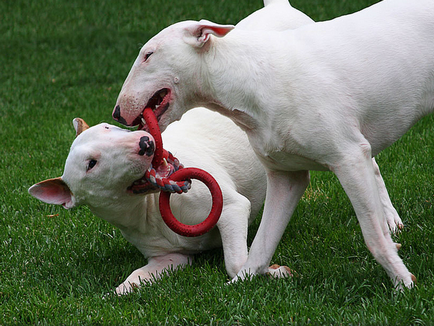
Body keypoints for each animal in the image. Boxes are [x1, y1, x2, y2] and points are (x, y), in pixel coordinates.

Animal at [112, 0, 434, 288]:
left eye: (148, 54)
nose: (116, 113)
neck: (255, 80)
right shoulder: (286, 176)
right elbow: (262, 244)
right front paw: (241, 283)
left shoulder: (348, 157)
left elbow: (372, 234)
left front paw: (403, 282)